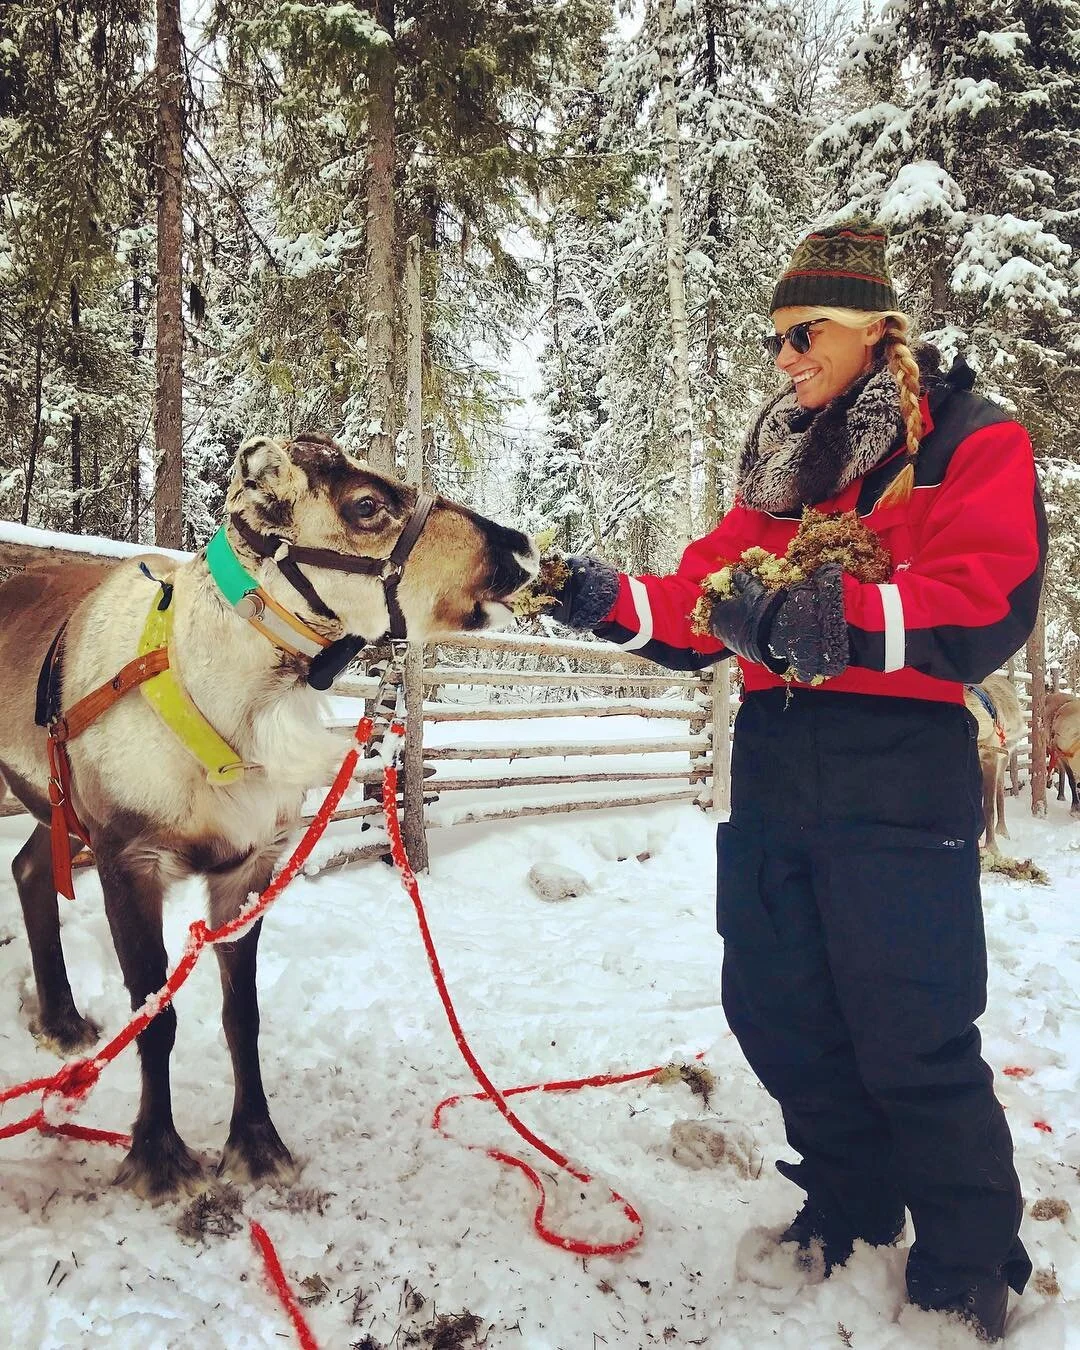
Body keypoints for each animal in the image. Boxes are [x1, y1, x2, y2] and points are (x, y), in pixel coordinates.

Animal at [0, 432, 538, 1201]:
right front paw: (158, 1156)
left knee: (26, 868)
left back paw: (64, 1021)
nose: (520, 548)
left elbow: (242, 1016)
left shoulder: (248, 862)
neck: (230, 706)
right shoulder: (127, 853)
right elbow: (155, 1014)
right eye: (366, 504)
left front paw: (256, 1144)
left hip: (55, 803)